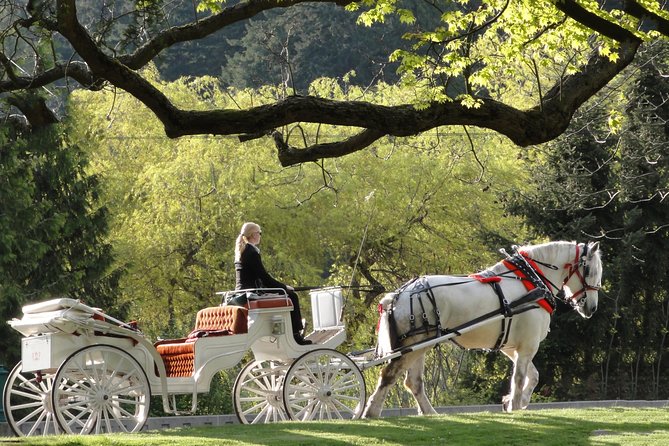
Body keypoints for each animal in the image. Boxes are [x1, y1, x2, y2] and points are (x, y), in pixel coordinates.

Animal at [362, 240, 604, 418]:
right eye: (591, 271)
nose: (592, 308)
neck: (530, 280)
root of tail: (398, 295)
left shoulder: (511, 347)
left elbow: (533, 376)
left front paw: (512, 401)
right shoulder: (528, 345)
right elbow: (520, 378)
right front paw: (516, 405)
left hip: (419, 346)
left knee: (413, 382)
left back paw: (429, 413)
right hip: (415, 344)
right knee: (389, 375)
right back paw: (371, 411)